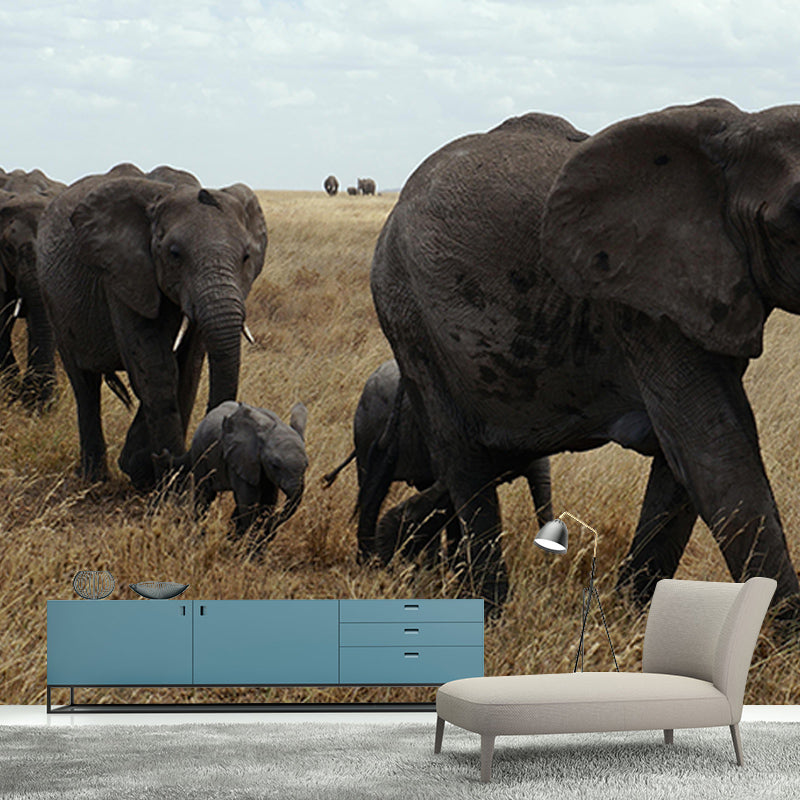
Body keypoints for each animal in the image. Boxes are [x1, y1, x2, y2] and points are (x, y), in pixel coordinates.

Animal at [36, 163, 267, 490]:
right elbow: (157, 369)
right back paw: (94, 479)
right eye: (174, 254)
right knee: (85, 385)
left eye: (246, 257)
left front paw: (146, 471)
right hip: (52, 299)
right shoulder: (123, 275)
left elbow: (188, 371)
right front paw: (169, 488)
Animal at [179, 400, 308, 548]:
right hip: (200, 454)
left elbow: (267, 501)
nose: (273, 528)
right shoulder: (242, 459)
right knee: (205, 496)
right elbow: (249, 503)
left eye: (306, 465)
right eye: (275, 465)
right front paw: (248, 548)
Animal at [369, 100, 800, 621]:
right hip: (409, 314)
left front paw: (635, 614)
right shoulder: (641, 303)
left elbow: (689, 460)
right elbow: (715, 447)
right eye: (793, 218)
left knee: (492, 453)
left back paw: (394, 552)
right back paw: (490, 609)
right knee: (464, 458)